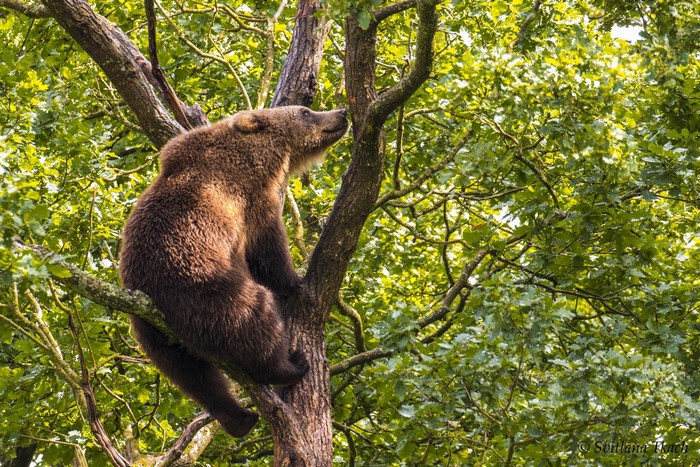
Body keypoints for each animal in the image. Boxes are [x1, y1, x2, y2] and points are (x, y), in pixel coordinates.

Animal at [119, 106, 348, 437]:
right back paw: (290, 365)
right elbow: (267, 248)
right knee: (253, 320)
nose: (342, 113)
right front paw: (294, 282)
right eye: (306, 112)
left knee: (191, 374)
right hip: (209, 286)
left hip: (151, 330)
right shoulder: (252, 198)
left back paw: (238, 418)